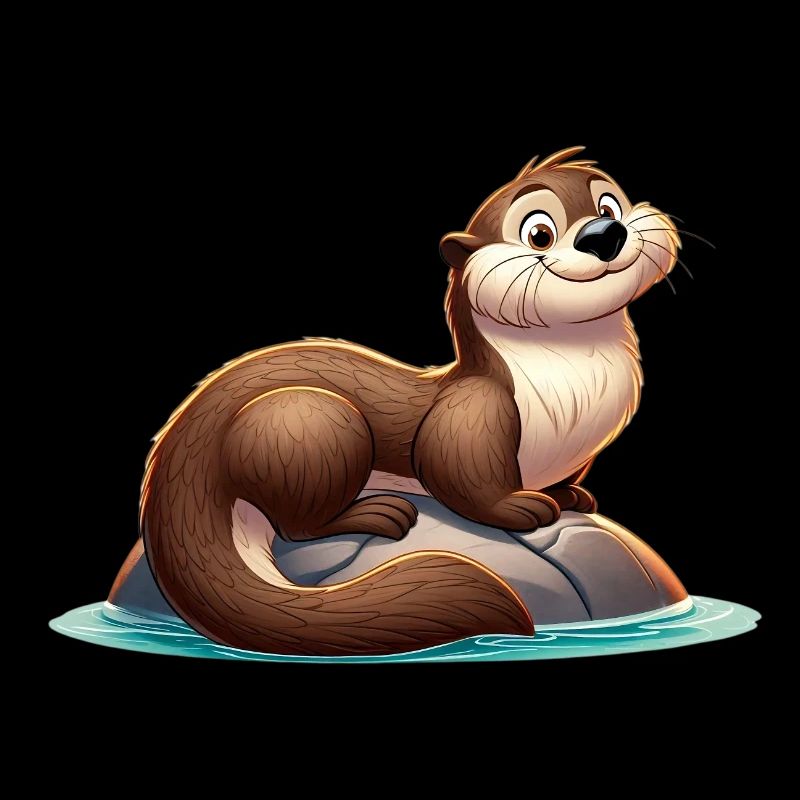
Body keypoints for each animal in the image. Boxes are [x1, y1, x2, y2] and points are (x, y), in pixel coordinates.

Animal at [141, 146, 679, 656]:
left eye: (608, 203)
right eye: (539, 232)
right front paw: (521, 507)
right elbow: (459, 473)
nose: (603, 232)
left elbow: (563, 482)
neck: (574, 398)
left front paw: (570, 496)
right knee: (297, 526)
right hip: (311, 423)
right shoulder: (473, 411)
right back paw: (375, 514)